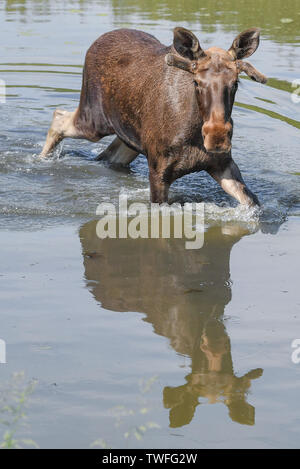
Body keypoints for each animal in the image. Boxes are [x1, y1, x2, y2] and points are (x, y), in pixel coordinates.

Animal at [40, 27, 268, 205]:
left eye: (235, 83)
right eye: (196, 82)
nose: (217, 137)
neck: (192, 132)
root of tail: (97, 41)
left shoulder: (222, 164)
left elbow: (252, 202)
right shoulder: (158, 173)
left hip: (129, 138)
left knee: (110, 155)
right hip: (94, 120)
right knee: (59, 117)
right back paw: (42, 160)